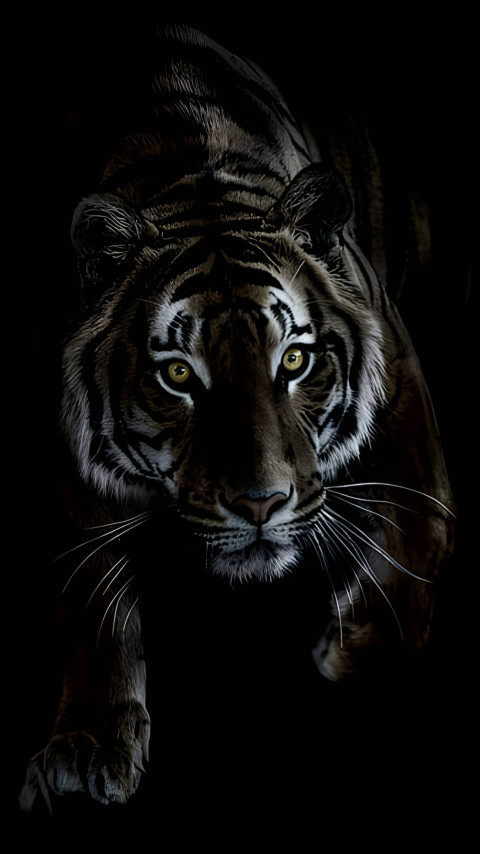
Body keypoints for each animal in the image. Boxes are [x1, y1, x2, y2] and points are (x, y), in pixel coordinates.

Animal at [19, 23, 454, 813]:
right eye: (178, 375)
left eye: (295, 361)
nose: (259, 504)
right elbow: (89, 597)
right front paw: (85, 753)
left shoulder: (404, 393)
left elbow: (418, 530)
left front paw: (356, 645)